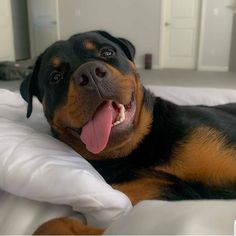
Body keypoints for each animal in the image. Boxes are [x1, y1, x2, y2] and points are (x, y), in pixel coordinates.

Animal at [19, 30, 236, 234]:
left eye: (107, 52)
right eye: (55, 77)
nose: (90, 73)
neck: (137, 152)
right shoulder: (148, 205)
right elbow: (52, 224)